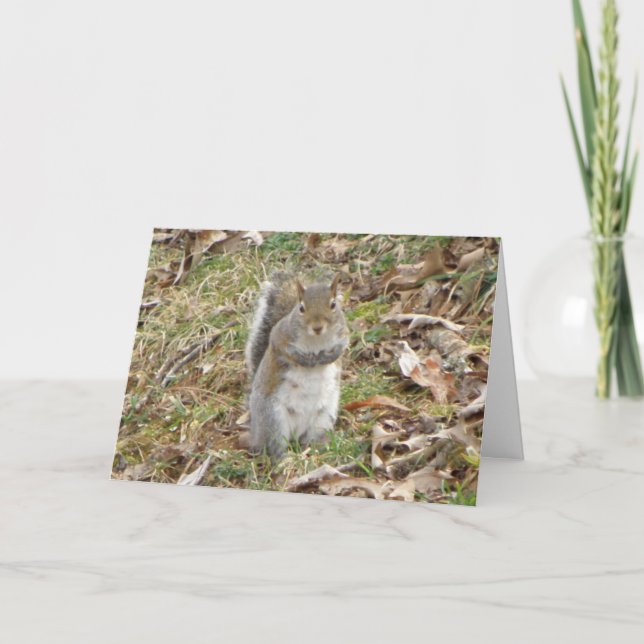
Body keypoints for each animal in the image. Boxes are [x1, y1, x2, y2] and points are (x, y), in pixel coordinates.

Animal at [245, 271, 350, 459]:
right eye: (301, 308)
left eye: (333, 304)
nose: (317, 327)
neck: (317, 340)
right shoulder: (280, 335)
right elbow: (286, 351)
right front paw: (305, 360)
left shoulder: (344, 333)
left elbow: (342, 347)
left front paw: (330, 357)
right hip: (274, 419)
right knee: (275, 446)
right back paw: (285, 459)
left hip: (323, 417)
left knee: (311, 438)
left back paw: (318, 448)